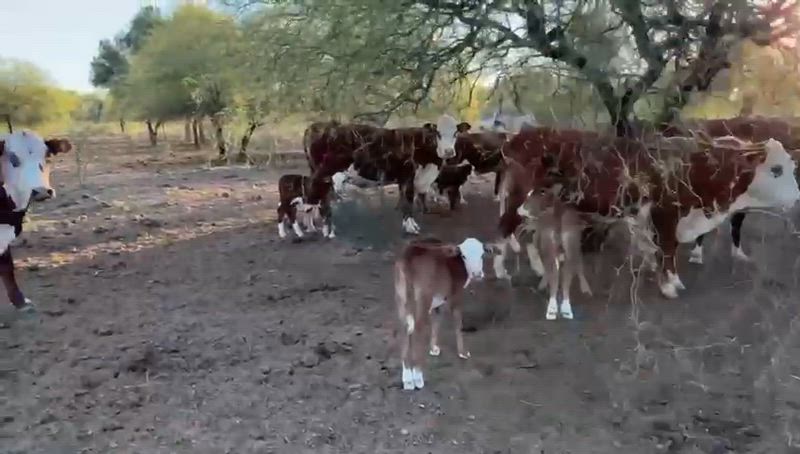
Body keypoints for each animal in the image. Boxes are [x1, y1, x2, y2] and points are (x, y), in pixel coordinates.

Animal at [304, 115, 459, 235]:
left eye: (455, 133)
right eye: (438, 133)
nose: (448, 151)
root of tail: (317, 126)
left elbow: (406, 200)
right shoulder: (408, 176)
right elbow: (408, 200)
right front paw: (411, 227)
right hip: (323, 172)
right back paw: (326, 229)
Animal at [394, 237, 488, 390]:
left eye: (482, 254)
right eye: (464, 256)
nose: (477, 274)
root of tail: (408, 257)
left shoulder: (439, 299)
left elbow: (437, 322)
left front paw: (433, 348)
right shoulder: (455, 295)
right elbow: (458, 323)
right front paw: (462, 352)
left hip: (401, 296)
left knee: (404, 328)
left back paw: (407, 379)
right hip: (423, 297)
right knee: (418, 329)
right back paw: (418, 378)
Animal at [494, 127, 800, 299]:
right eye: (776, 169)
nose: (797, 197)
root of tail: (519, 136)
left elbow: (656, 248)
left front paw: (664, 275)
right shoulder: (666, 214)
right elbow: (667, 248)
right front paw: (670, 285)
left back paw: (538, 269)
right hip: (520, 199)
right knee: (504, 226)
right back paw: (500, 271)